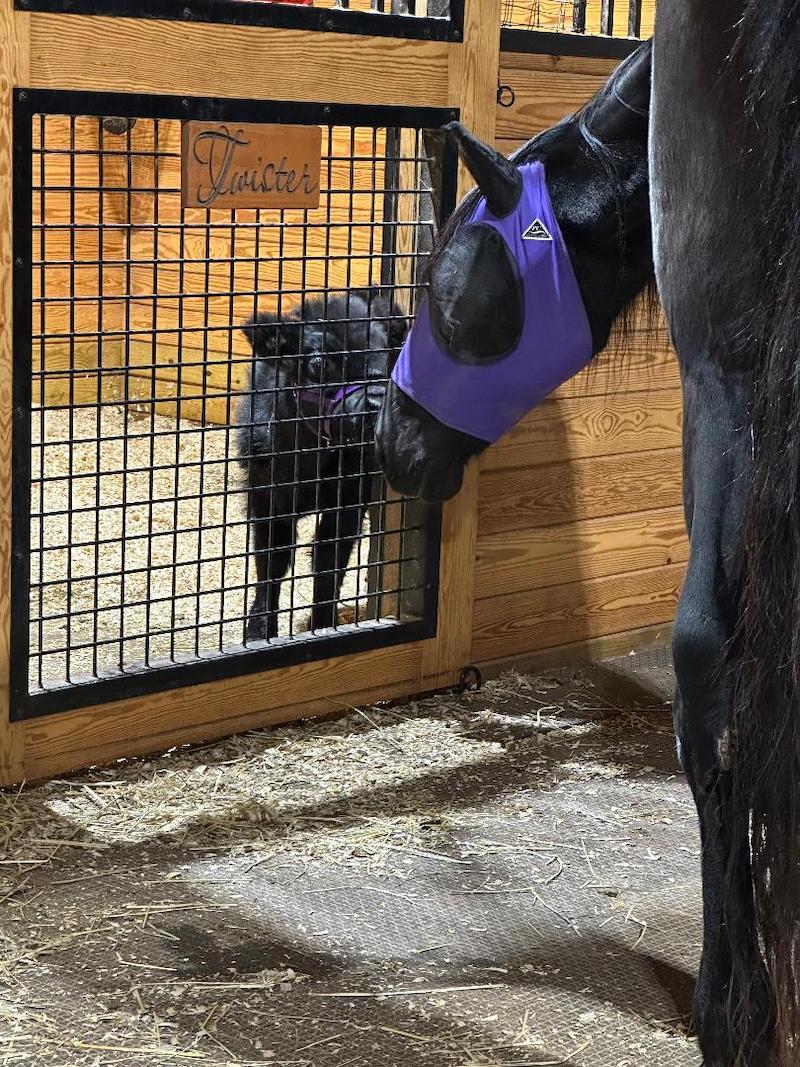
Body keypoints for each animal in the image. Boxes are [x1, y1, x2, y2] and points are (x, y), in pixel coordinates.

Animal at [237, 288, 406, 642]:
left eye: (388, 354)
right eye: (318, 361)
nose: (376, 403)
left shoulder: (349, 501)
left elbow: (329, 564)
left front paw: (323, 624)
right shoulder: (267, 499)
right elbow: (271, 561)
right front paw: (259, 631)